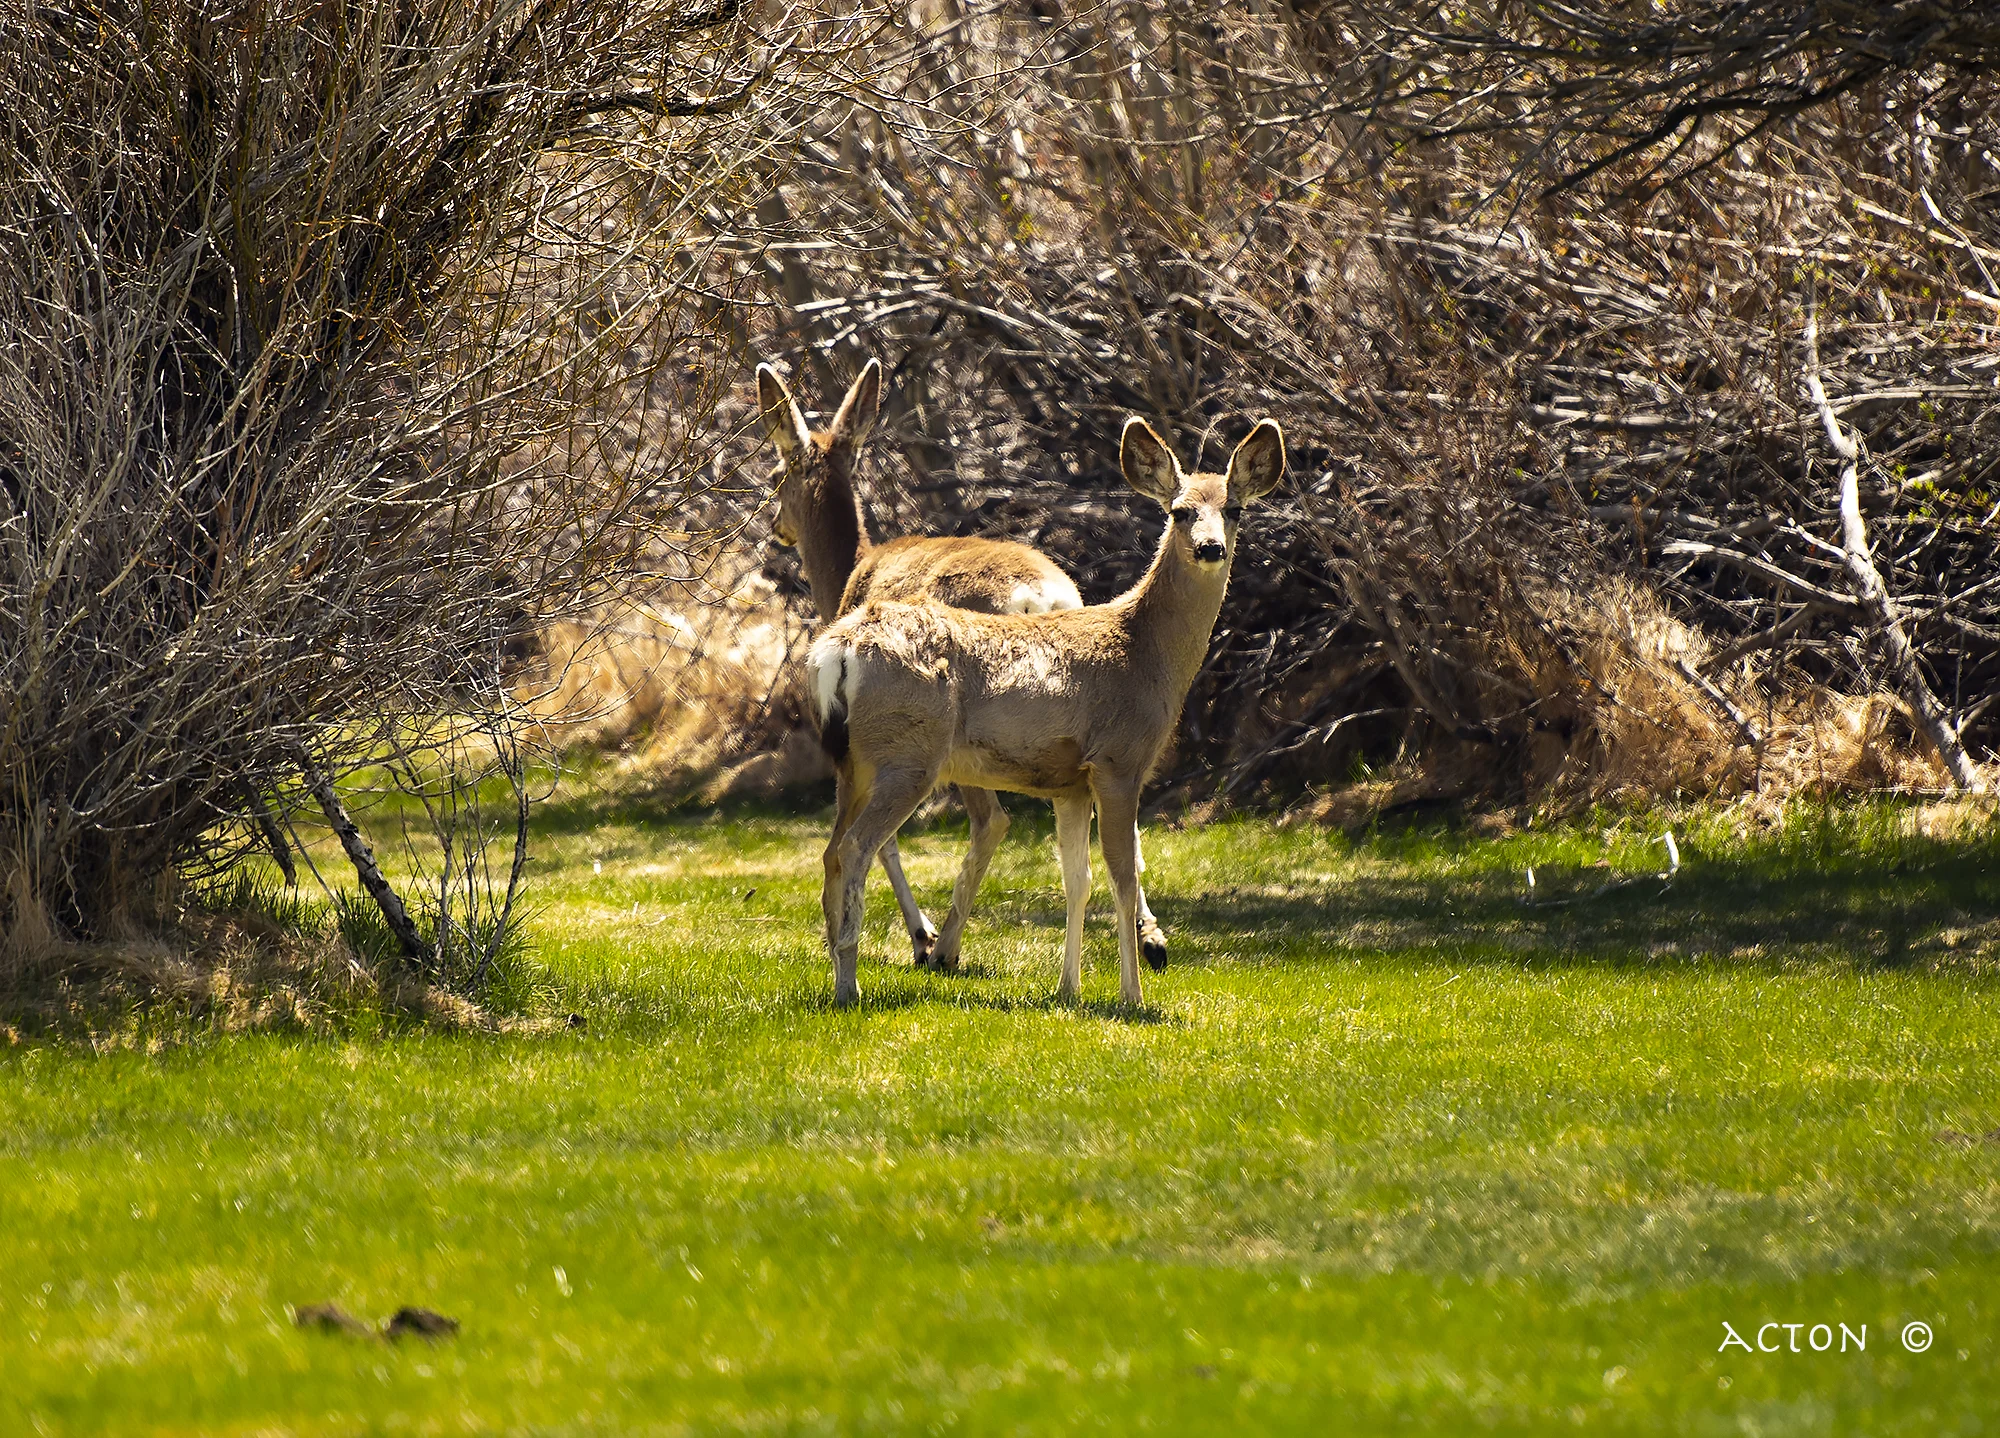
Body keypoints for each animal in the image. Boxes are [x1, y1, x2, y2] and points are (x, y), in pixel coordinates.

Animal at [756, 358, 1172, 975]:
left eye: (776, 473)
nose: (774, 527)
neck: (849, 575)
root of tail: (1038, 597)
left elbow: (884, 842)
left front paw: (920, 934)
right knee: (1121, 824)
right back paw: (1152, 939)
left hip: (965, 739)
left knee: (989, 820)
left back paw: (945, 946)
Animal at [807, 415, 1286, 1007]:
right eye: (1180, 511)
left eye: (1234, 508)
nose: (1211, 547)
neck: (1143, 654)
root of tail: (837, 647)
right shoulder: (1118, 761)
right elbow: (1121, 878)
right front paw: (1132, 998)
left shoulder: (1070, 783)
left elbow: (1077, 882)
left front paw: (1069, 991)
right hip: (908, 756)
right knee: (856, 849)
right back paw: (851, 985)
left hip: (855, 764)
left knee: (831, 851)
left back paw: (840, 967)